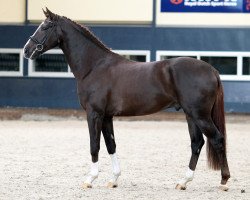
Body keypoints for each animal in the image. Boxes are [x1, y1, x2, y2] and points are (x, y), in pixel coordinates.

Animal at [23, 8, 230, 191]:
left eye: (45, 27)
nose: (26, 50)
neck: (94, 66)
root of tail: (212, 70)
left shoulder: (94, 114)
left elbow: (94, 146)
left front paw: (90, 179)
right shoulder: (106, 116)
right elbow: (111, 145)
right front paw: (113, 179)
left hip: (200, 115)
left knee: (217, 139)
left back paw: (223, 181)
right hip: (190, 115)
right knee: (197, 143)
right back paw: (183, 182)